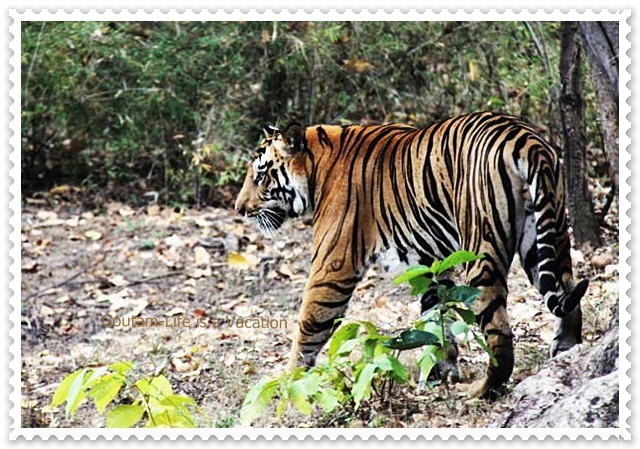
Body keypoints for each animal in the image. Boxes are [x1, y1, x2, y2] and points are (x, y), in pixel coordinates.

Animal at [236, 111, 592, 396]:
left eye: (260, 175)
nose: (239, 209)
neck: (317, 168)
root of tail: (524, 138)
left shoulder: (333, 267)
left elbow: (308, 328)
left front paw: (288, 386)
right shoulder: (430, 265)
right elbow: (437, 319)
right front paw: (440, 374)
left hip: (482, 251)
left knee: (500, 333)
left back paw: (481, 390)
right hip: (546, 236)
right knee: (568, 294)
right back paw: (566, 353)